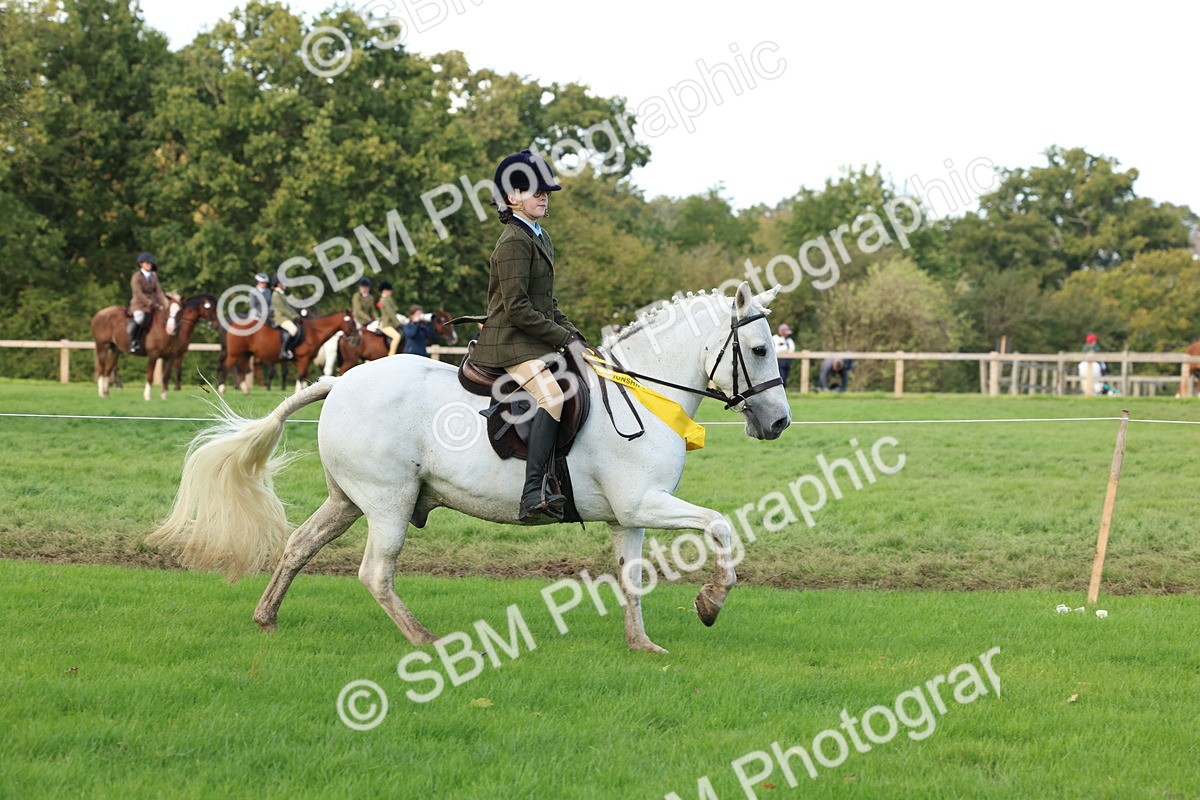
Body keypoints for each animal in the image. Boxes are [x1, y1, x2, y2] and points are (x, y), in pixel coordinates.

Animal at [218, 310, 357, 395]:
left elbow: (303, 377)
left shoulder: (306, 361)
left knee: (242, 370)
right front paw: (298, 393)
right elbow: (300, 377)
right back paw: (222, 389)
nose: (357, 339)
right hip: (234, 354)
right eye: (352, 322)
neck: (313, 332)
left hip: (245, 354)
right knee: (226, 367)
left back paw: (246, 392)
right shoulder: (303, 359)